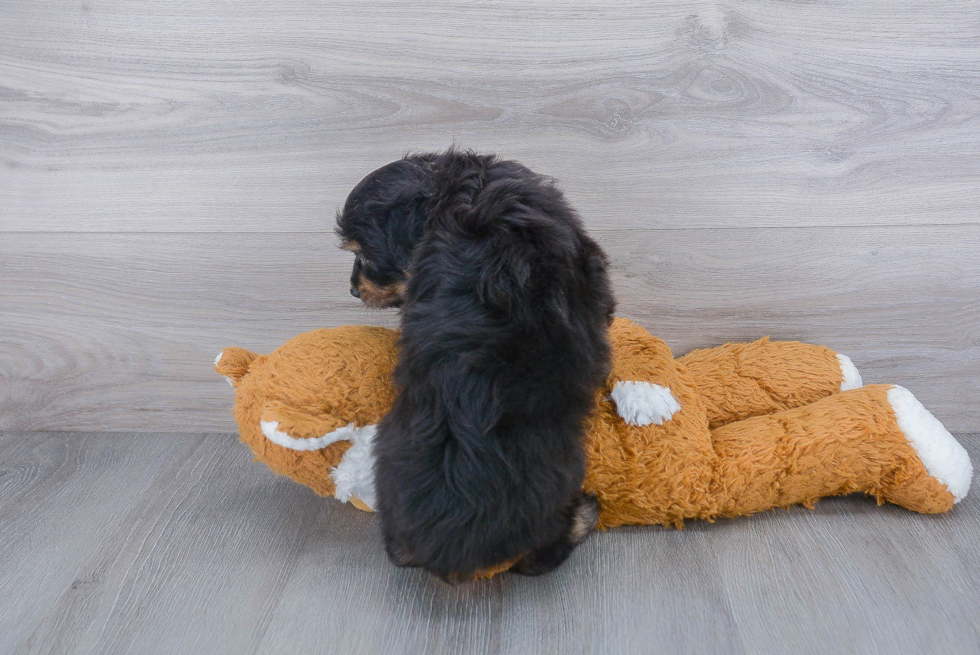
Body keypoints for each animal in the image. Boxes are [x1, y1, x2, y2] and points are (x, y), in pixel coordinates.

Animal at [334, 149, 612, 580]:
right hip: (559, 481)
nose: (352, 288)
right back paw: (585, 515)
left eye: (364, 255)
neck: (460, 190)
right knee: (540, 557)